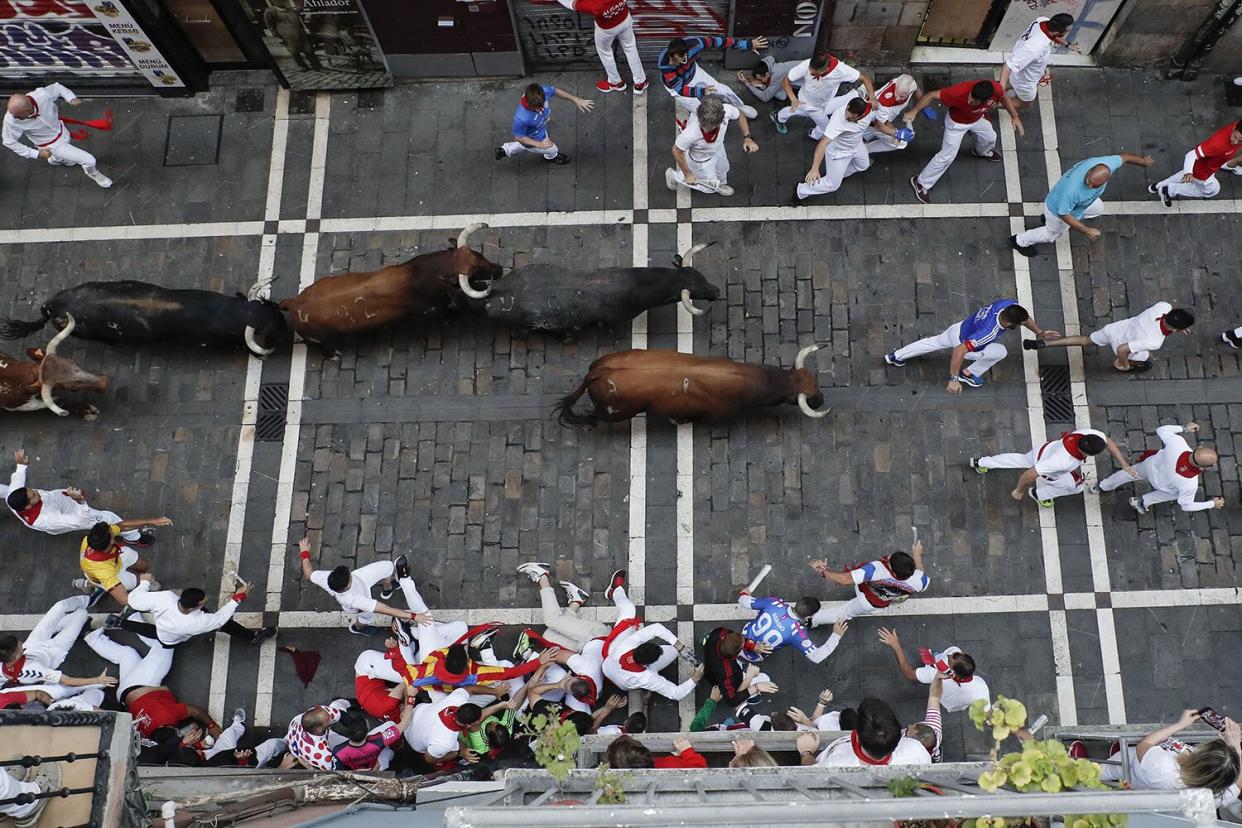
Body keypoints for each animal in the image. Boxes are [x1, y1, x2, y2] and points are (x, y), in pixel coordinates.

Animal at [279, 222, 501, 345]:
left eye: (480, 254)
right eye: (474, 274)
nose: (498, 269)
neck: (419, 275)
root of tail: (293, 304)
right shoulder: (432, 310)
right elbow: (450, 313)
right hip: (319, 339)